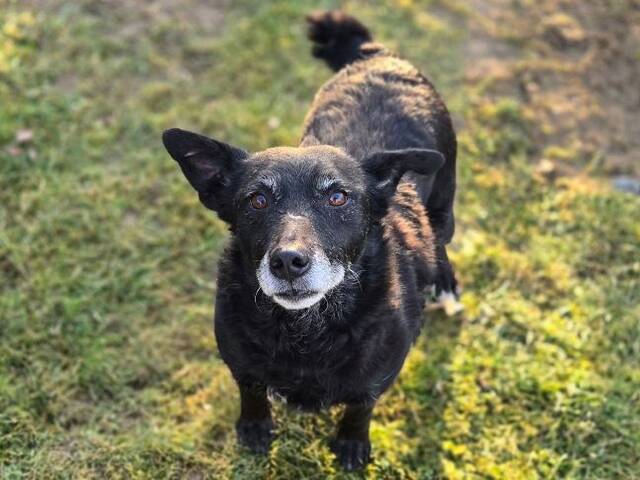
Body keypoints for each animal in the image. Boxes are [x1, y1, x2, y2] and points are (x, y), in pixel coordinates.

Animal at [161, 10, 457, 471]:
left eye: (337, 196)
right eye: (257, 199)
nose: (288, 261)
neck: (305, 331)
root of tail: (377, 55)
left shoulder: (380, 373)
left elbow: (360, 405)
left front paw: (352, 444)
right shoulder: (238, 359)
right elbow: (251, 391)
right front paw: (254, 428)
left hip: (445, 197)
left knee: (441, 236)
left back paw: (444, 281)